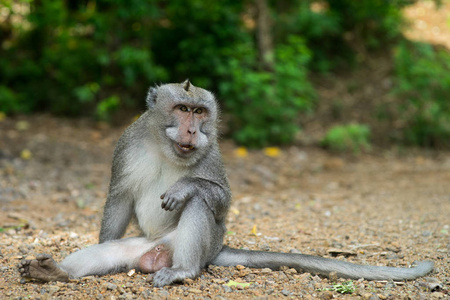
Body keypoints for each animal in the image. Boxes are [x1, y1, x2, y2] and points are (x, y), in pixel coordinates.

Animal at [16, 80, 432, 288]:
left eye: (200, 112)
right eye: (182, 109)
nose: (192, 129)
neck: (167, 148)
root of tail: (158, 252)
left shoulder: (212, 153)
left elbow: (217, 198)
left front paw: (185, 189)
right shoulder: (126, 144)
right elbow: (118, 196)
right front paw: (101, 240)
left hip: (199, 245)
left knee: (200, 207)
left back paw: (183, 270)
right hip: (139, 247)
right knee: (108, 255)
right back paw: (55, 273)